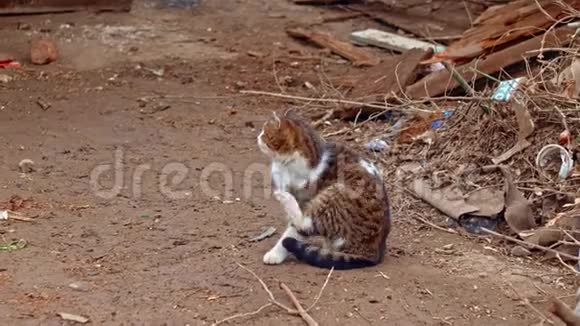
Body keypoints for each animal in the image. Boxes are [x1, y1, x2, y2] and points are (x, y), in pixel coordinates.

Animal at [258, 109, 390, 270]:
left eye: (264, 133)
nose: (257, 137)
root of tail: (373, 255)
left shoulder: (306, 198)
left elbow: (294, 231)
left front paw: (275, 254)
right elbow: (292, 230)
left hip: (336, 193)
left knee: (307, 224)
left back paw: (285, 198)